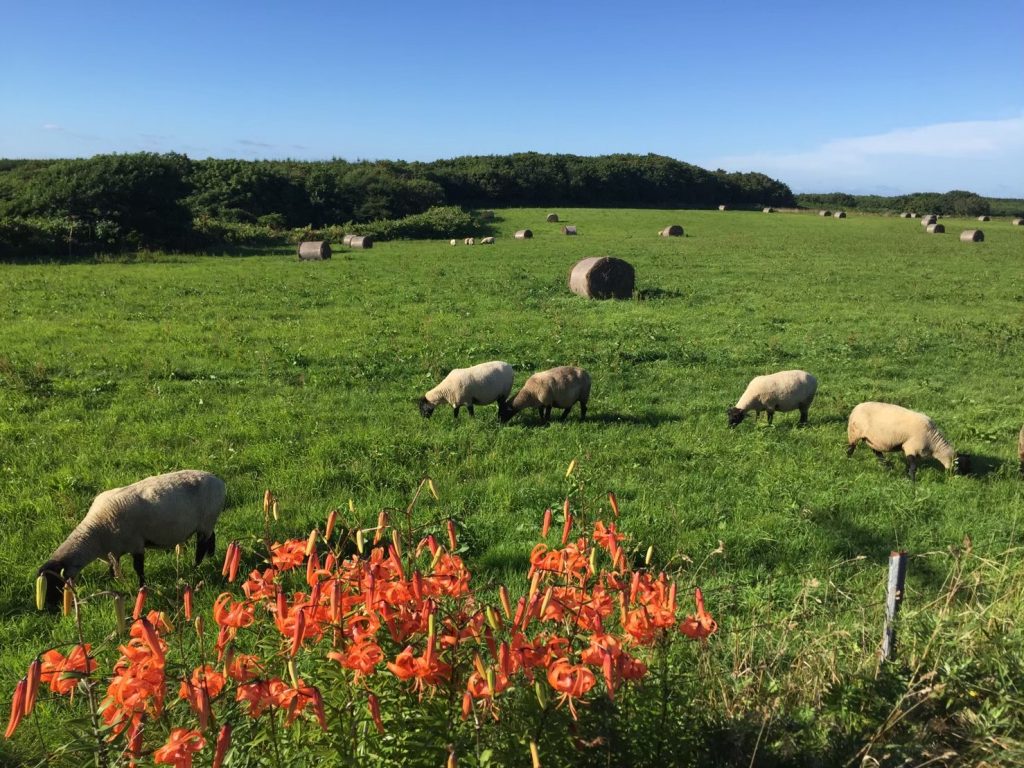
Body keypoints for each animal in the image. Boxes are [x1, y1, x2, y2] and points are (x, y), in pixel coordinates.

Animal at [38, 468, 227, 606]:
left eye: (53, 584)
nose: (48, 608)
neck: (94, 534)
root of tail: (218, 481)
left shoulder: (136, 544)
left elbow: (138, 569)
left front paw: (141, 587)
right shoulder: (113, 551)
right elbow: (114, 568)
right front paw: (115, 582)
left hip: (206, 520)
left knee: (201, 547)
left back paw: (195, 567)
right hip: (206, 523)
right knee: (211, 537)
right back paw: (211, 556)